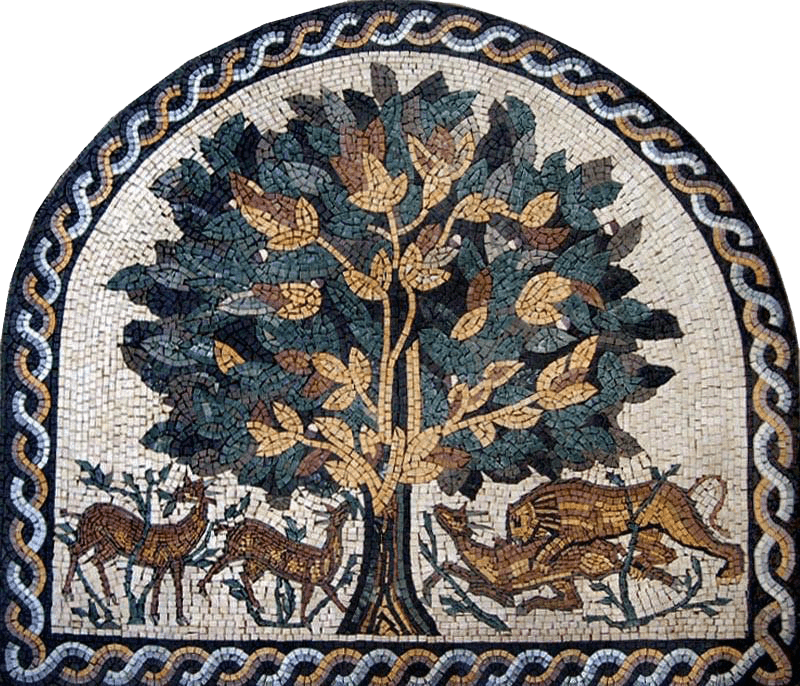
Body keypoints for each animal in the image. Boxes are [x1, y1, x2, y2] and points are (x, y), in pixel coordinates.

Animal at [61, 472, 215, 625]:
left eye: (193, 491)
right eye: (182, 487)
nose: (175, 495)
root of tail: (82, 513)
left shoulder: (177, 563)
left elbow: (178, 586)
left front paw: (181, 618)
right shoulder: (161, 562)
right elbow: (158, 584)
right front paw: (154, 616)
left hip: (109, 546)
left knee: (95, 559)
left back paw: (110, 597)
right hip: (90, 536)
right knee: (74, 550)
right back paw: (68, 593)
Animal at [198, 501, 350, 625]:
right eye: (338, 511)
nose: (347, 504)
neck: (326, 557)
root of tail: (233, 528)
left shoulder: (322, 582)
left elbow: (333, 595)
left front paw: (344, 609)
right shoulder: (309, 580)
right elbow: (304, 601)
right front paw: (304, 621)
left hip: (257, 563)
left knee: (243, 574)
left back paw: (257, 604)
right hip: (235, 551)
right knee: (218, 565)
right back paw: (203, 587)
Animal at [430, 503, 676, 613]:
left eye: (457, 517)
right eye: (449, 509)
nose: (437, 507)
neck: (486, 558)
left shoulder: (509, 581)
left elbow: (501, 593)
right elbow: (451, 566)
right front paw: (427, 589)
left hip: (577, 566)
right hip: (563, 577)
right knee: (574, 601)